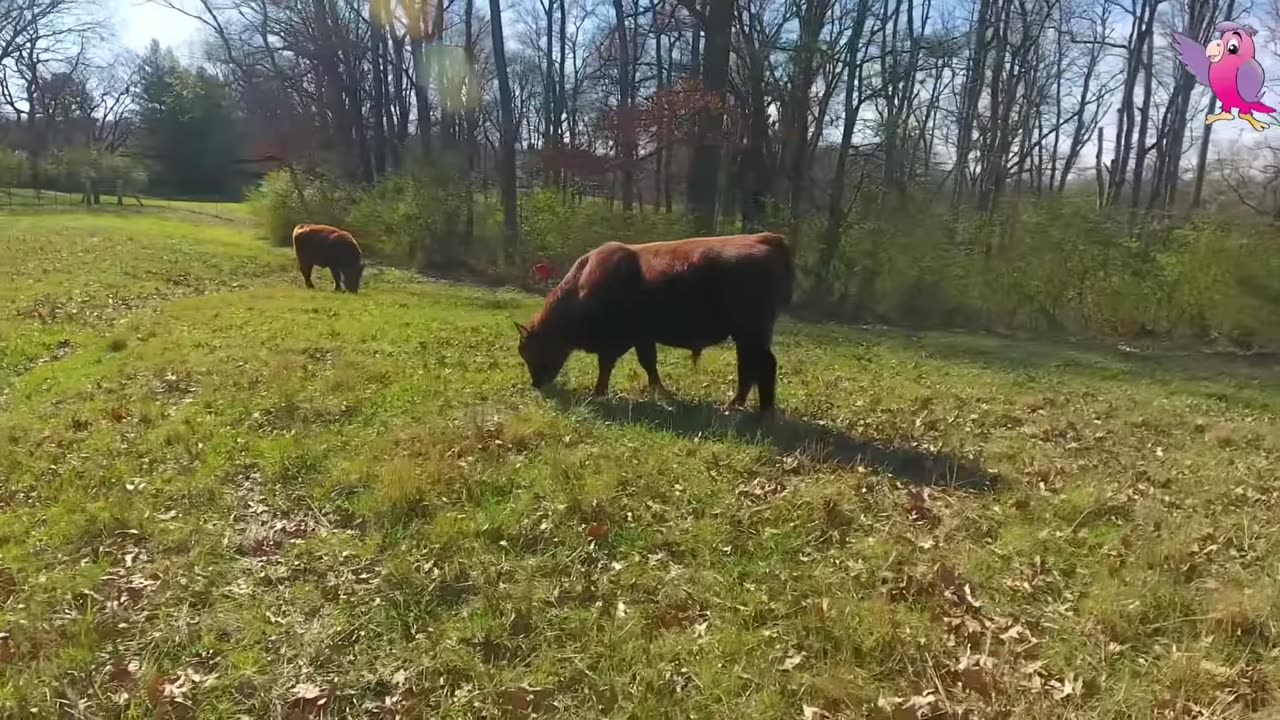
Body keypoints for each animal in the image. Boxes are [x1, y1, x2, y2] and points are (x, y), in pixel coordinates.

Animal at [514, 229, 793, 409]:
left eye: (530, 350)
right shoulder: (642, 338)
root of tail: (767, 239)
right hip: (747, 336)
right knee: (750, 365)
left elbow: (607, 365)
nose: (536, 384)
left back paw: (756, 410)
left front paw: (599, 392)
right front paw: (661, 392)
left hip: (750, 332)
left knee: (763, 364)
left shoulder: (616, 340)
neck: (583, 284)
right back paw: (740, 405)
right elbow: (649, 364)